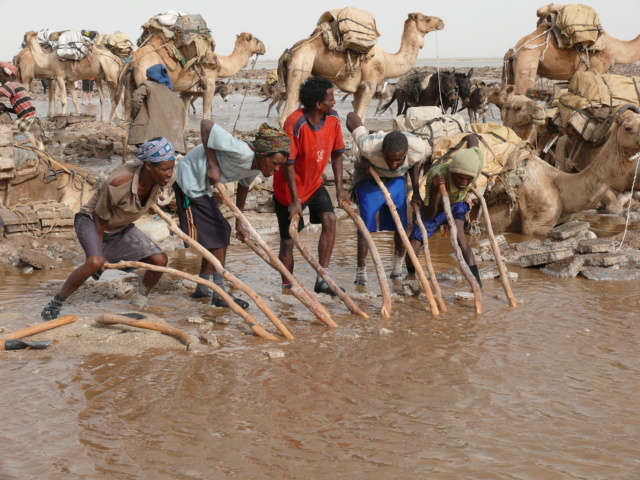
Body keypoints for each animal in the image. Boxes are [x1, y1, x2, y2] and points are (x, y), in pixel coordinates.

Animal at [122, 32, 264, 124]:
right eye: (256, 40)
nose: (264, 47)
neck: (219, 64)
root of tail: (134, 59)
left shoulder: (187, 91)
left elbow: (185, 119)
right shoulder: (209, 87)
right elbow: (206, 117)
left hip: (130, 84)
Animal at [278, 12, 442, 125]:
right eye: (427, 19)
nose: (441, 21)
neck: (387, 61)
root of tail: (288, 52)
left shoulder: (358, 90)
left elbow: (356, 118)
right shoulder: (368, 86)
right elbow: (361, 119)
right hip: (299, 68)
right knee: (286, 116)